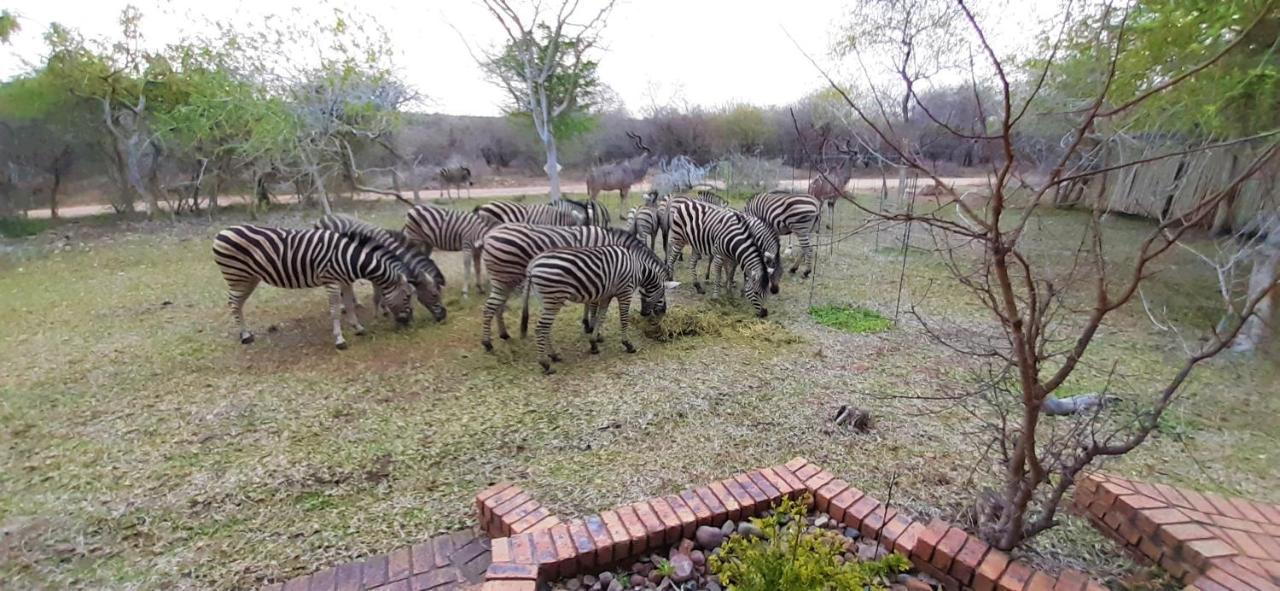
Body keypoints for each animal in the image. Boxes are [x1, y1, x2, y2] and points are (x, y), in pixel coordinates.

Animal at [209, 225, 409, 345]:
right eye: (408, 296)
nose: (407, 323)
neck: (349, 257)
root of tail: (222, 231)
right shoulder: (331, 281)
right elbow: (335, 310)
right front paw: (339, 339)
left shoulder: (345, 281)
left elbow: (350, 305)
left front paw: (358, 328)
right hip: (237, 276)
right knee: (234, 303)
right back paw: (244, 336)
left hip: (249, 278)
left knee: (238, 304)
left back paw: (247, 333)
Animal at [312, 213, 448, 321]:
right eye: (435, 294)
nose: (443, 316)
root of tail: (325, 216)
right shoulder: (376, 271)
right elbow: (377, 296)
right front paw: (377, 315)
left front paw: (385, 309)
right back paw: (343, 306)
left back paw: (355, 303)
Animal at [476, 223, 665, 347]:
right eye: (662, 292)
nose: (662, 312)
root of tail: (488, 234)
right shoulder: (599, 274)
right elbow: (594, 305)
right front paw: (594, 329)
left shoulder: (595, 277)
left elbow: (591, 302)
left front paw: (588, 325)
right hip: (505, 278)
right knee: (490, 306)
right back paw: (487, 343)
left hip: (506, 280)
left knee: (497, 305)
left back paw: (503, 334)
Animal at [522, 244, 680, 373]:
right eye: (663, 294)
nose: (645, 313)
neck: (639, 270)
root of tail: (533, 264)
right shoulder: (625, 292)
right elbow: (623, 319)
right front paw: (628, 344)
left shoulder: (607, 295)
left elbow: (600, 317)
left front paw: (593, 343)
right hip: (553, 299)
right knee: (540, 328)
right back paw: (545, 363)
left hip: (545, 300)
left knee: (546, 328)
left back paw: (554, 355)